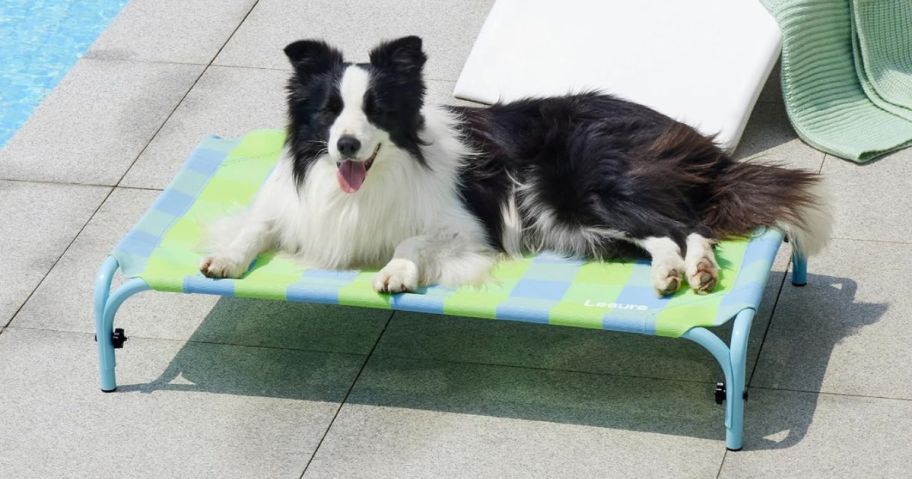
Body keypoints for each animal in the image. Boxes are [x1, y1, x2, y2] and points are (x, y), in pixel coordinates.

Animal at [201, 37, 832, 298]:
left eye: (375, 109)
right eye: (329, 112)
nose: (348, 146)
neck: (370, 180)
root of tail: (692, 139)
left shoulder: (465, 227)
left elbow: (411, 241)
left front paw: (397, 272)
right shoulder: (293, 206)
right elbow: (255, 225)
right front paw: (223, 258)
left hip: (571, 190)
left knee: (686, 225)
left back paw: (696, 270)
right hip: (577, 218)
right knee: (663, 236)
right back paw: (673, 274)